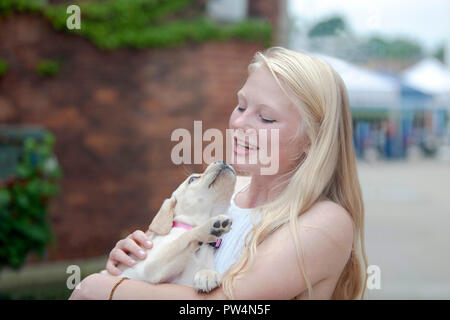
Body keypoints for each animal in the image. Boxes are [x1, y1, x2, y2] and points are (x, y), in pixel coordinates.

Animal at [102, 160, 236, 292]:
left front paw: (207, 274)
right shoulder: (150, 267)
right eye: (193, 179)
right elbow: (183, 239)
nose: (222, 161)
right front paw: (208, 227)